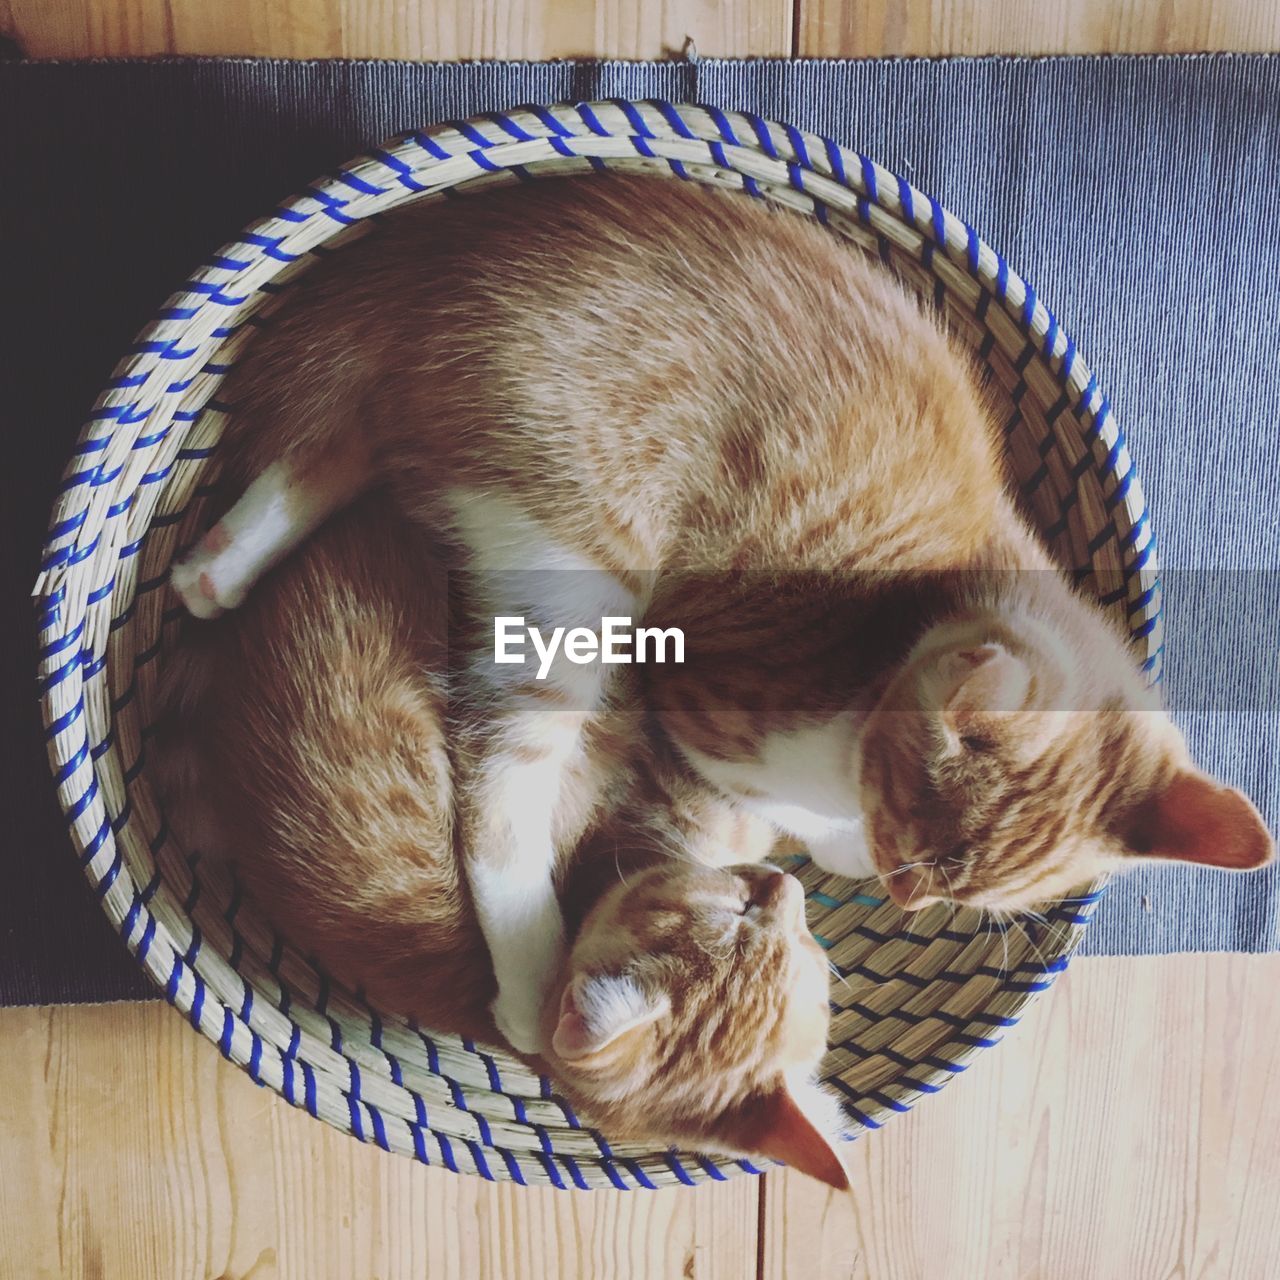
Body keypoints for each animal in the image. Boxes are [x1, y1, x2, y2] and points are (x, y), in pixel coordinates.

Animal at [170, 177, 1269, 1059]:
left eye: (976, 895)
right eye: (916, 827)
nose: (906, 895)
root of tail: (443, 259)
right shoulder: (702, 712)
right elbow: (759, 814)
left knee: (343, 446)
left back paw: (216, 567)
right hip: (582, 581)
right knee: (492, 799)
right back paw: (532, 982)